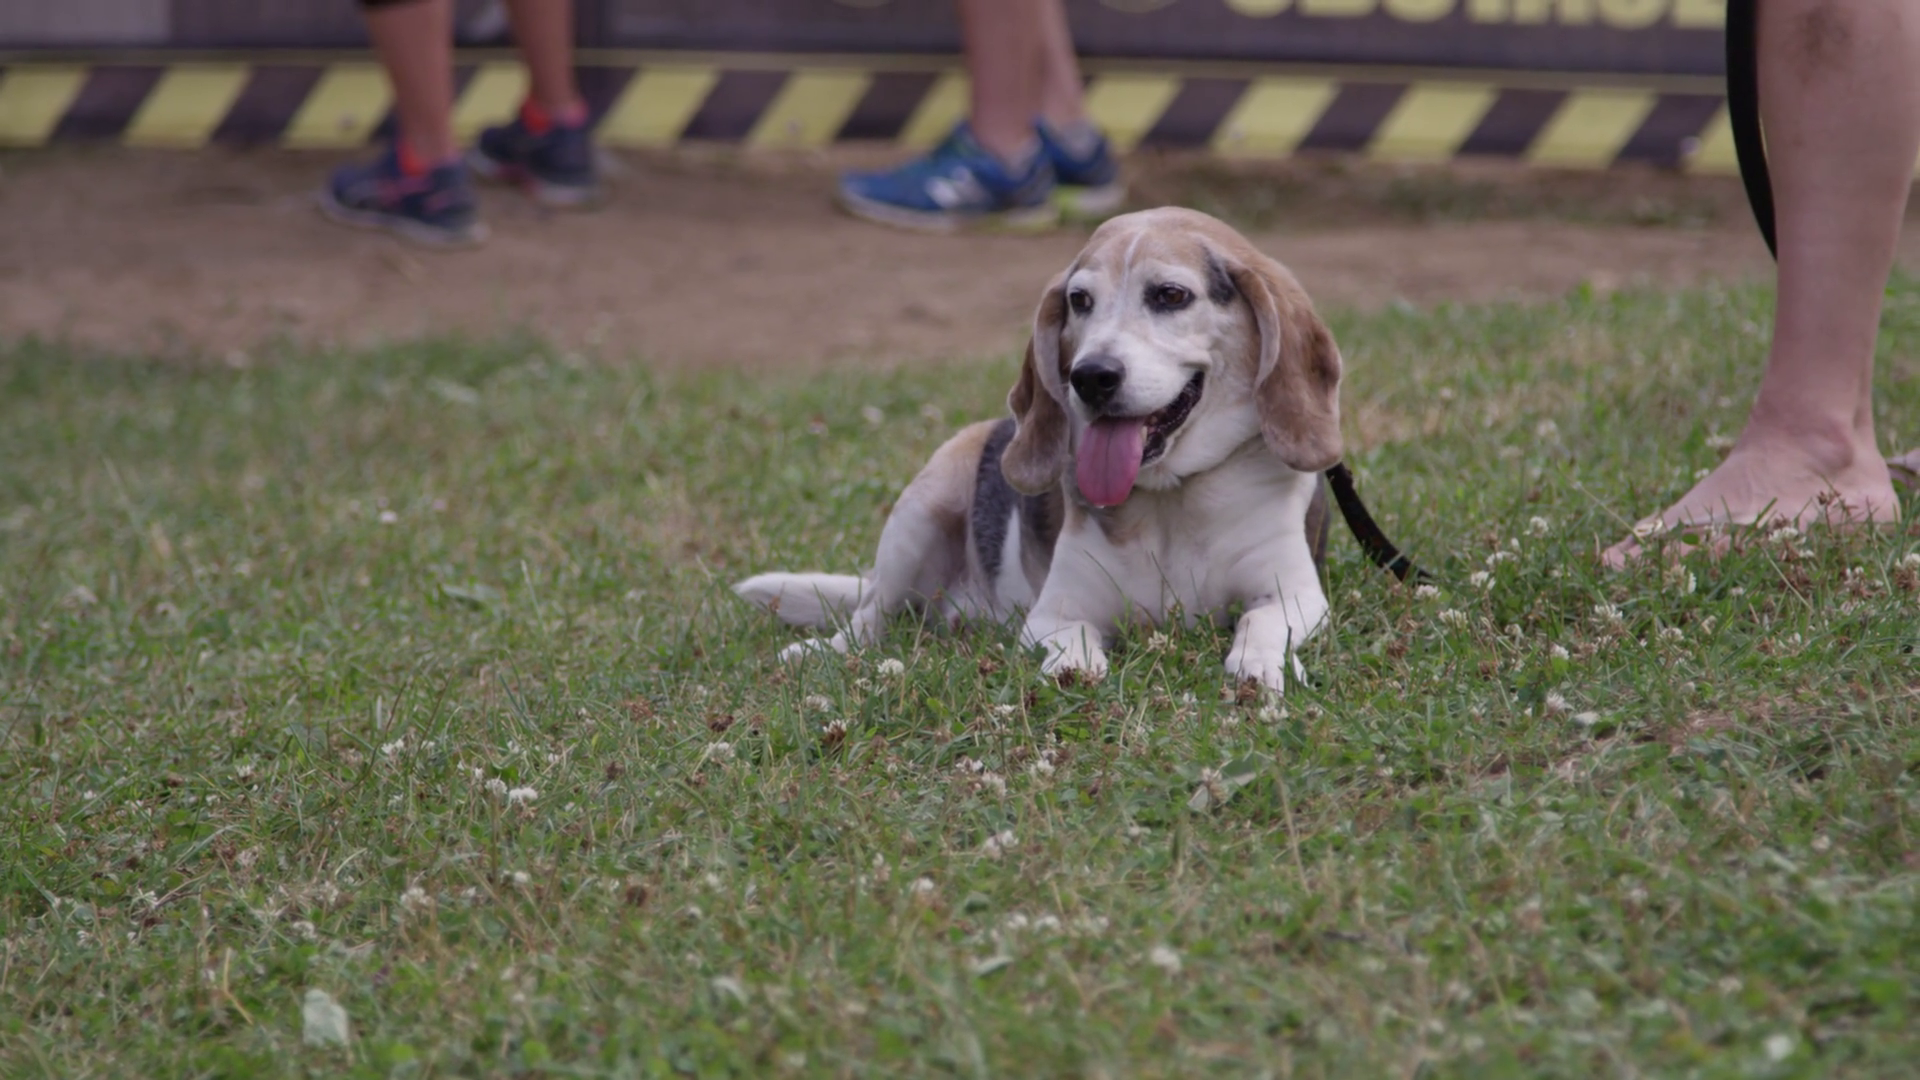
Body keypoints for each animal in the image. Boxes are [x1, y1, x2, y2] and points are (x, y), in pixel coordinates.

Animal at [734, 207, 1415, 692]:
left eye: (1171, 295)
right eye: (1078, 301)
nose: (1092, 376)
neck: (1172, 499)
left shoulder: (1295, 593)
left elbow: (1260, 621)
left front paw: (1258, 668)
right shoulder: (1055, 613)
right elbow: (1073, 641)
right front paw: (1072, 670)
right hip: (918, 514)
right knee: (870, 616)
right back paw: (821, 651)